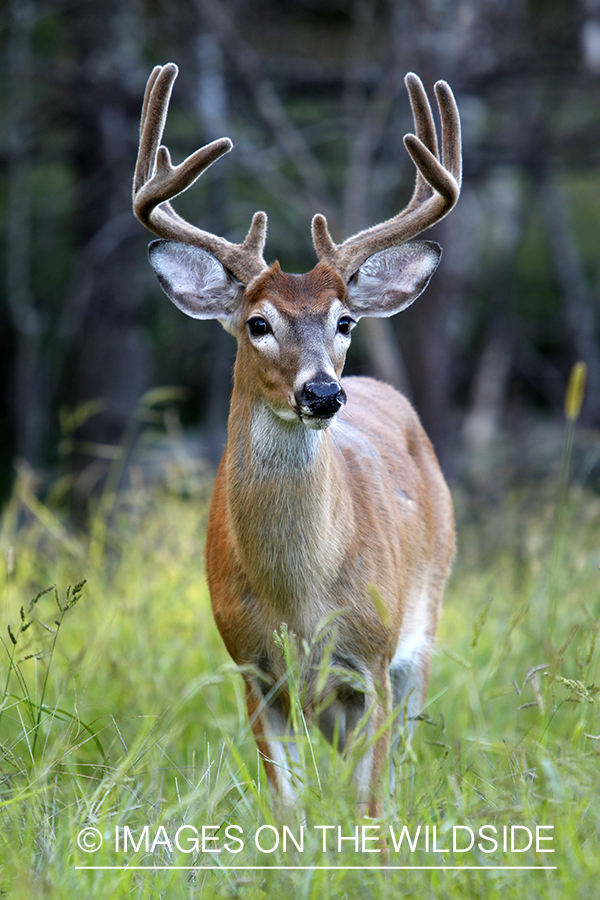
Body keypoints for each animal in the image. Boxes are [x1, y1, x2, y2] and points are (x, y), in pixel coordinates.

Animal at [132, 63, 460, 816]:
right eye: (258, 322)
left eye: (344, 321)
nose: (322, 393)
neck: (301, 600)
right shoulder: (252, 669)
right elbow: (286, 808)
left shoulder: (371, 659)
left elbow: (369, 804)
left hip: (426, 620)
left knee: (405, 753)